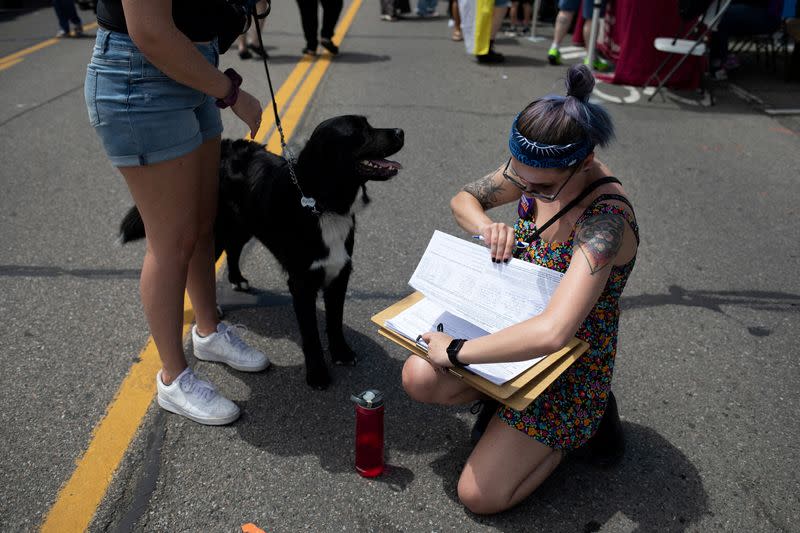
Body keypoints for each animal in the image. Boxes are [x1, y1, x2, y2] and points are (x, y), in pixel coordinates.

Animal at [119, 115, 404, 386]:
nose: (401, 132)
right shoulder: (301, 282)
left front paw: (341, 353)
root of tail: (226, 145)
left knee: (233, 250)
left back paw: (237, 279)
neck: (324, 206)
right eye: (358, 131)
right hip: (212, 229)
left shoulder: (339, 271)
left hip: (244, 224)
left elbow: (334, 321)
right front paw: (317, 374)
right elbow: (311, 334)